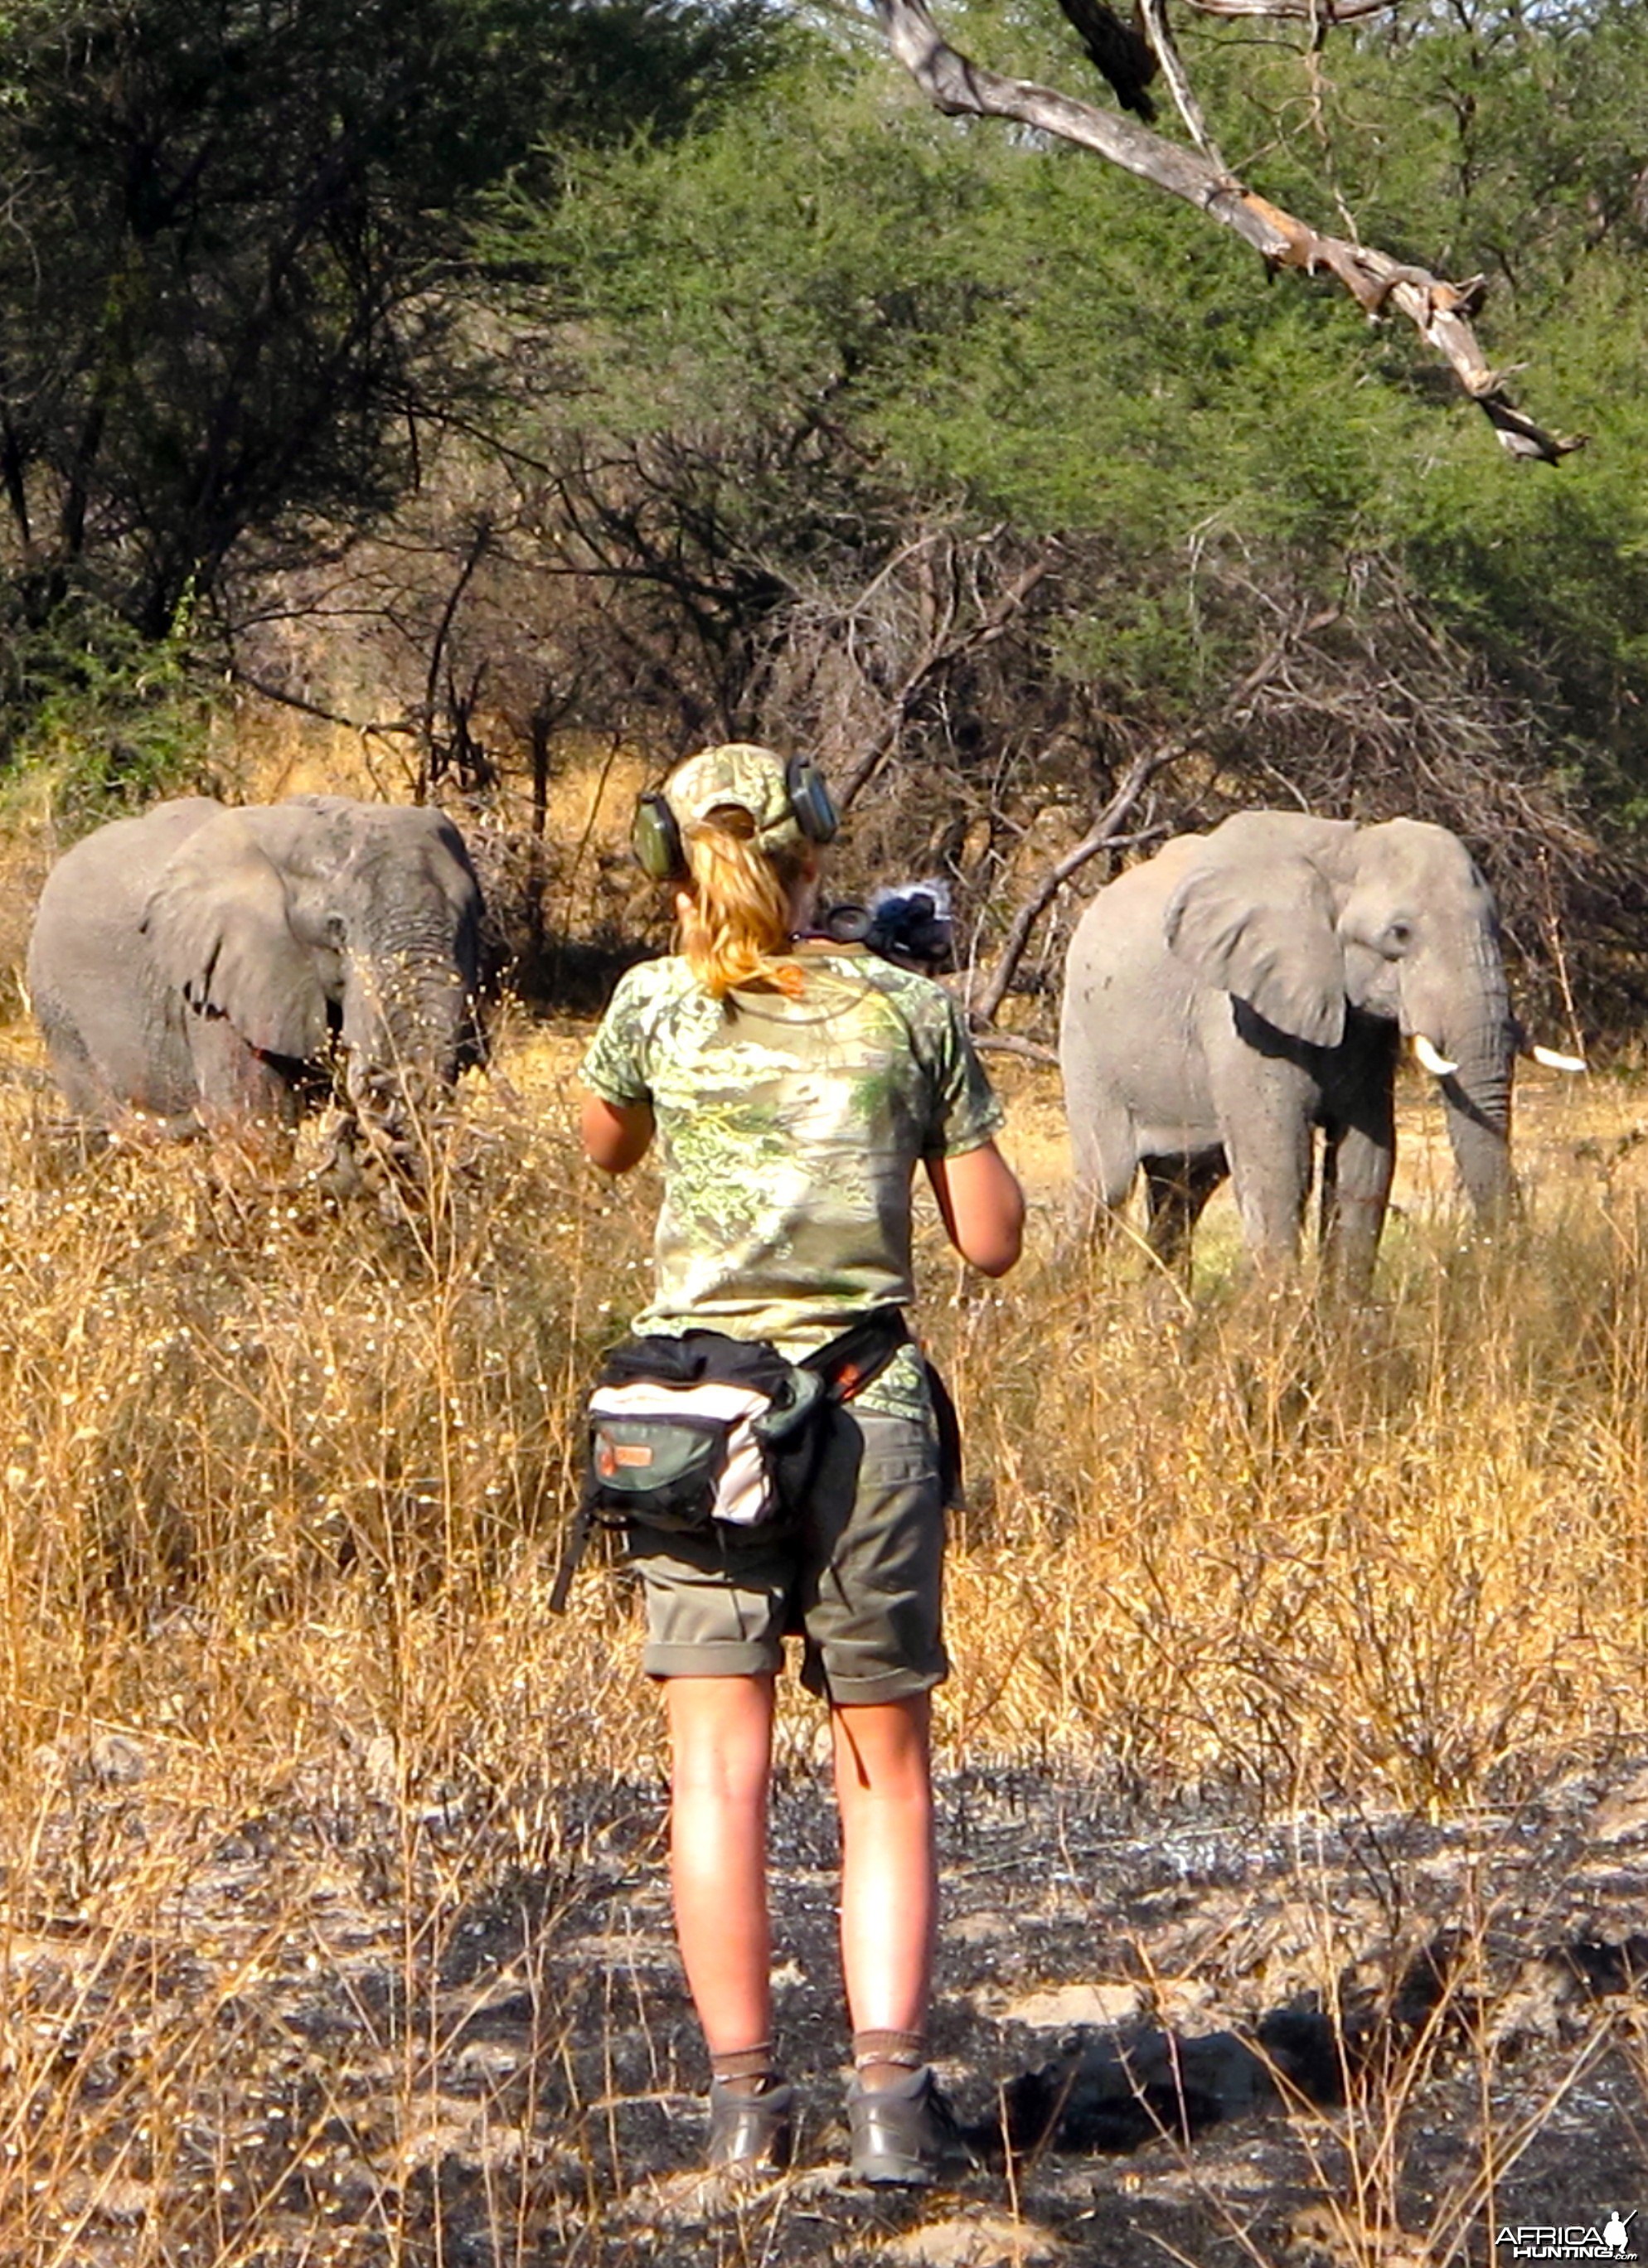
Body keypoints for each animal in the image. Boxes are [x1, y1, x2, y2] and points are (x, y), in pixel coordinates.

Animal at [1065, 807, 1568, 1288]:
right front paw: (1280, 1313)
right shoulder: (1240, 1014)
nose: (1500, 1265)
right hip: (1087, 1046)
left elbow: (1366, 1157)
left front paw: (1347, 1318)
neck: (1348, 850)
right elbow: (1279, 1162)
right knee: (1104, 1188)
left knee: (1183, 1192)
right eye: (1399, 934)